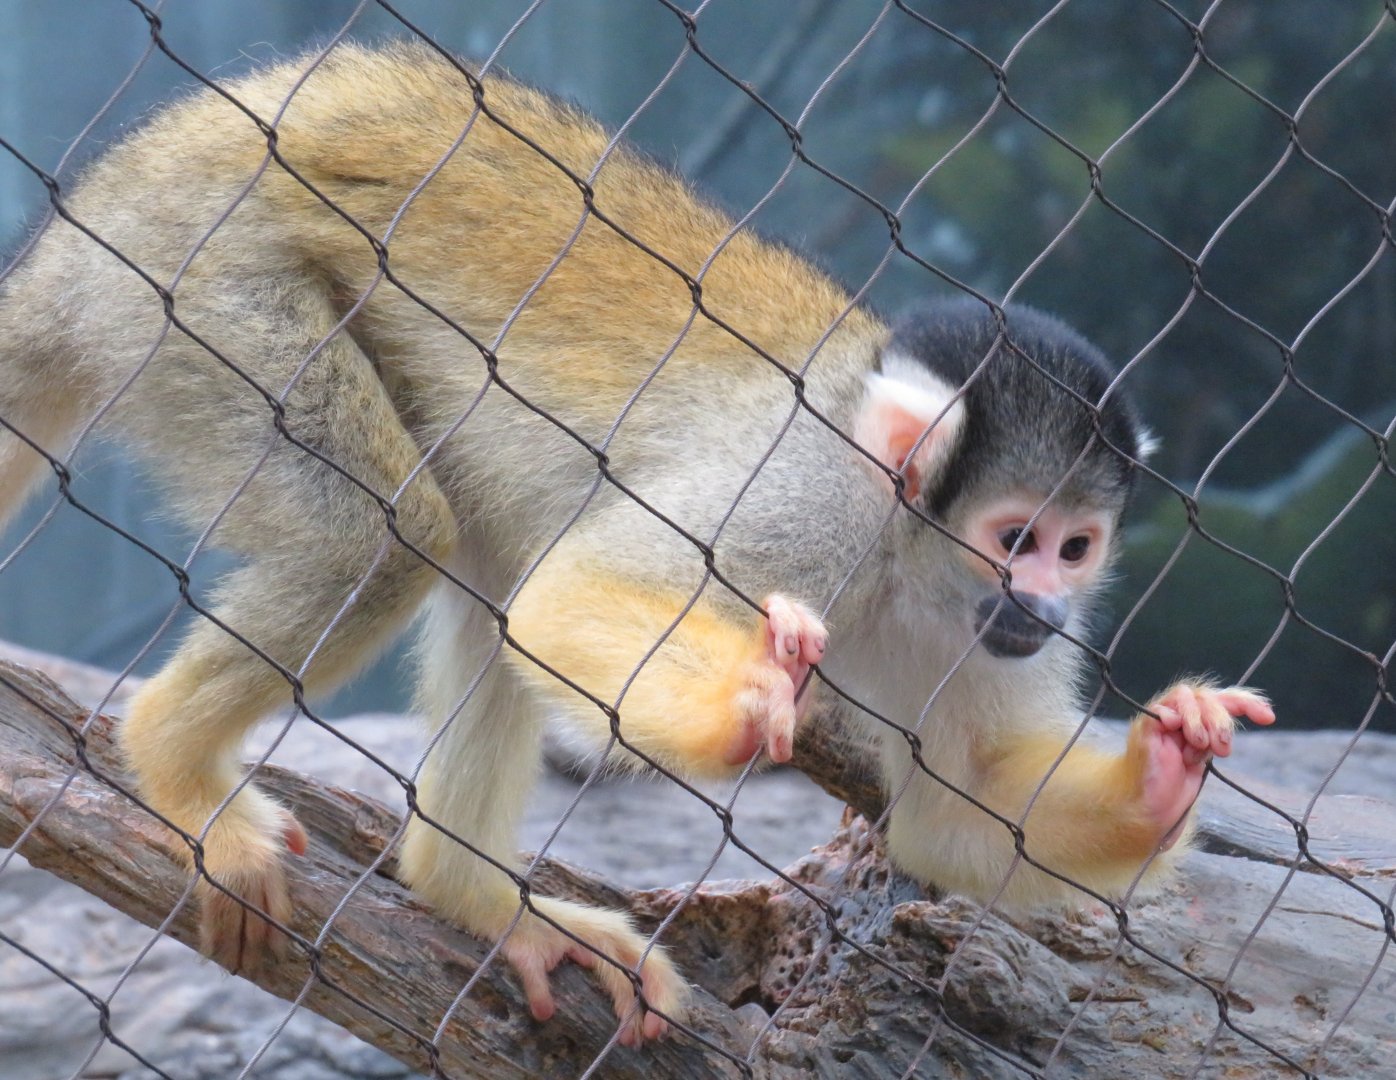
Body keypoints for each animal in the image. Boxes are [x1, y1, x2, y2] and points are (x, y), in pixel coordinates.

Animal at [0, 40, 1274, 1046]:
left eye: (1075, 548)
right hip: (199, 277)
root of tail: (129, 178)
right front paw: (745, 704)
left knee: (476, 556)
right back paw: (176, 762)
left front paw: (1165, 772)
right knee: (386, 538)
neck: (904, 562)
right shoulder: (806, 493)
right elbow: (571, 595)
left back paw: (474, 897)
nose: (1047, 608)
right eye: (1014, 537)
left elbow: (967, 808)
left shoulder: (964, 631)